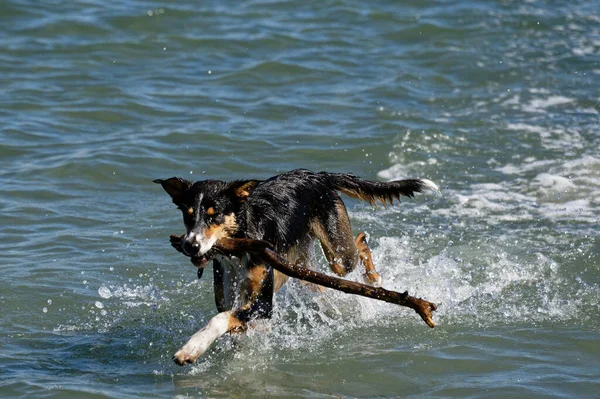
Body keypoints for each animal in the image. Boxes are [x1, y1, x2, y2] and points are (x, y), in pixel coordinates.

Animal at [154, 169, 436, 366]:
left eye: (215, 215)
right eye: (188, 215)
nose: (190, 245)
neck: (239, 246)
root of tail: (318, 175)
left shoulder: (263, 304)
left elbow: (220, 319)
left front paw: (192, 348)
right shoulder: (231, 297)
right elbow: (232, 323)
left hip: (337, 255)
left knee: (359, 244)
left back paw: (374, 279)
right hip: (303, 271)